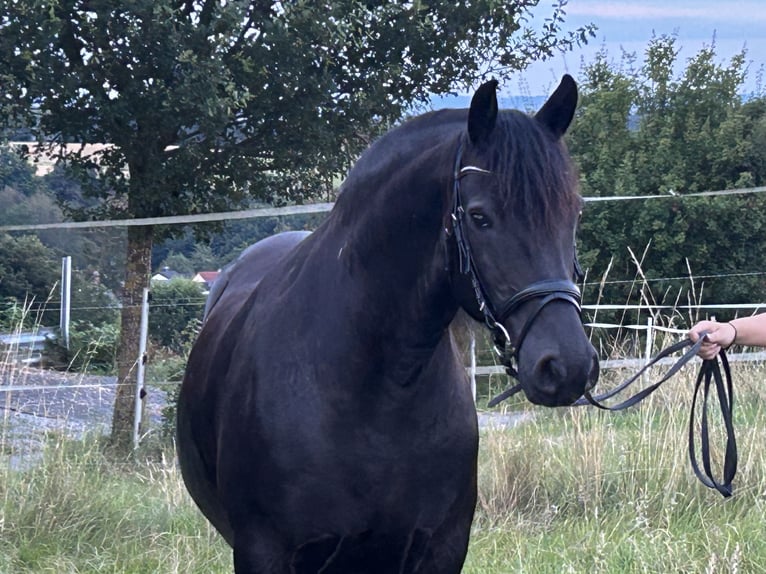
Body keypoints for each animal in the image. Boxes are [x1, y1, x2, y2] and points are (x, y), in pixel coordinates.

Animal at [178, 77, 600, 574]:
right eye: (480, 217)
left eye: (573, 212)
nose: (567, 365)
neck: (375, 390)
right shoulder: (265, 552)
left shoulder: (440, 548)